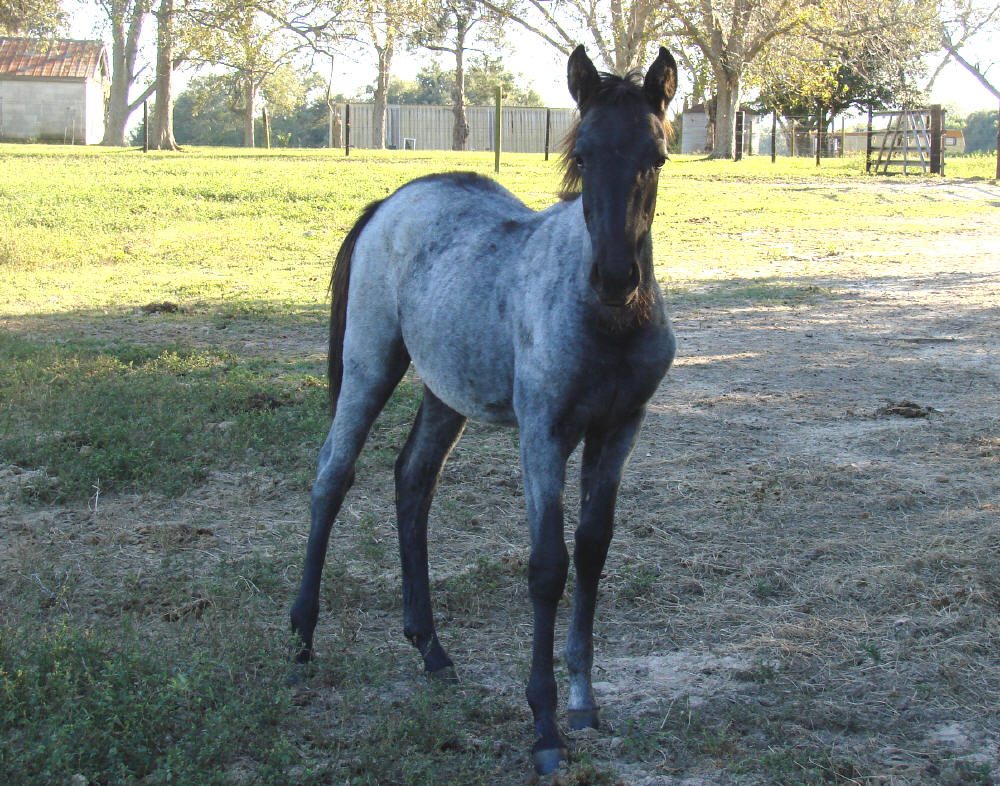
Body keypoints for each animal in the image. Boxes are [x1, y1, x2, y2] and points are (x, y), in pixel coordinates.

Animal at [290, 44, 678, 774]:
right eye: (584, 154)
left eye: (658, 155)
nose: (616, 278)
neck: (608, 324)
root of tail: (393, 200)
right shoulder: (544, 433)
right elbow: (547, 566)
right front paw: (545, 727)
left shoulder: (619, 430)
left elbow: (593, 549)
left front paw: (583, 702)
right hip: (370, 363)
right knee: (331, 474)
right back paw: (300, 637)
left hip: (448, 392)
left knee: (412, 480)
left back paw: (431, 648)